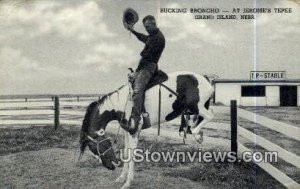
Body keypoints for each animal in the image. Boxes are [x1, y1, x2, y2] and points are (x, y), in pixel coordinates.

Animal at [78, 71, 214, 189]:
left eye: (93, 147)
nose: (113, 165)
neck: (122, 103)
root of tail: (204, 78)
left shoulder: (134, 132)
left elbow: (132, 155)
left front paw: (128, 182)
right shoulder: (127, 132)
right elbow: (126, 153)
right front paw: (121, 178)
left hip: (196, 107)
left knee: (210, 115)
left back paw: (197, 135)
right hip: (192, 109)